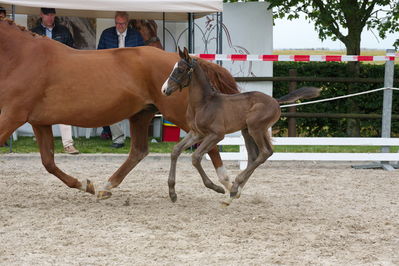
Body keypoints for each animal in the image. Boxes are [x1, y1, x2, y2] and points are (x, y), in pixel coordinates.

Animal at [0, 17, 238, 198]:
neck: (22, 57)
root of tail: (185, 60)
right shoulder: (39, 122)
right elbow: (48, 162)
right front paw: (84, 185)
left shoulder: (12, 115)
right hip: (142, 114)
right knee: (139, 151)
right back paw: (106, 186)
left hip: (178, 115)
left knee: (211, 145)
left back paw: (227, 184)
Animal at [161, 47, 320, 205]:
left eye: (180, 69)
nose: (164, 90)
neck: (203, 103)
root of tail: (275, 101)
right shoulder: (196, 133)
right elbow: (176, 150)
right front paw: (172, 192)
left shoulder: (217, 135)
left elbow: (196, 157)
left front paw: (216, 188)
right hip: (248, 131)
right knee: (255, 155)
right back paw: (235, 192)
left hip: (255, 128)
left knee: (264, 153)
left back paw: (235, 187)